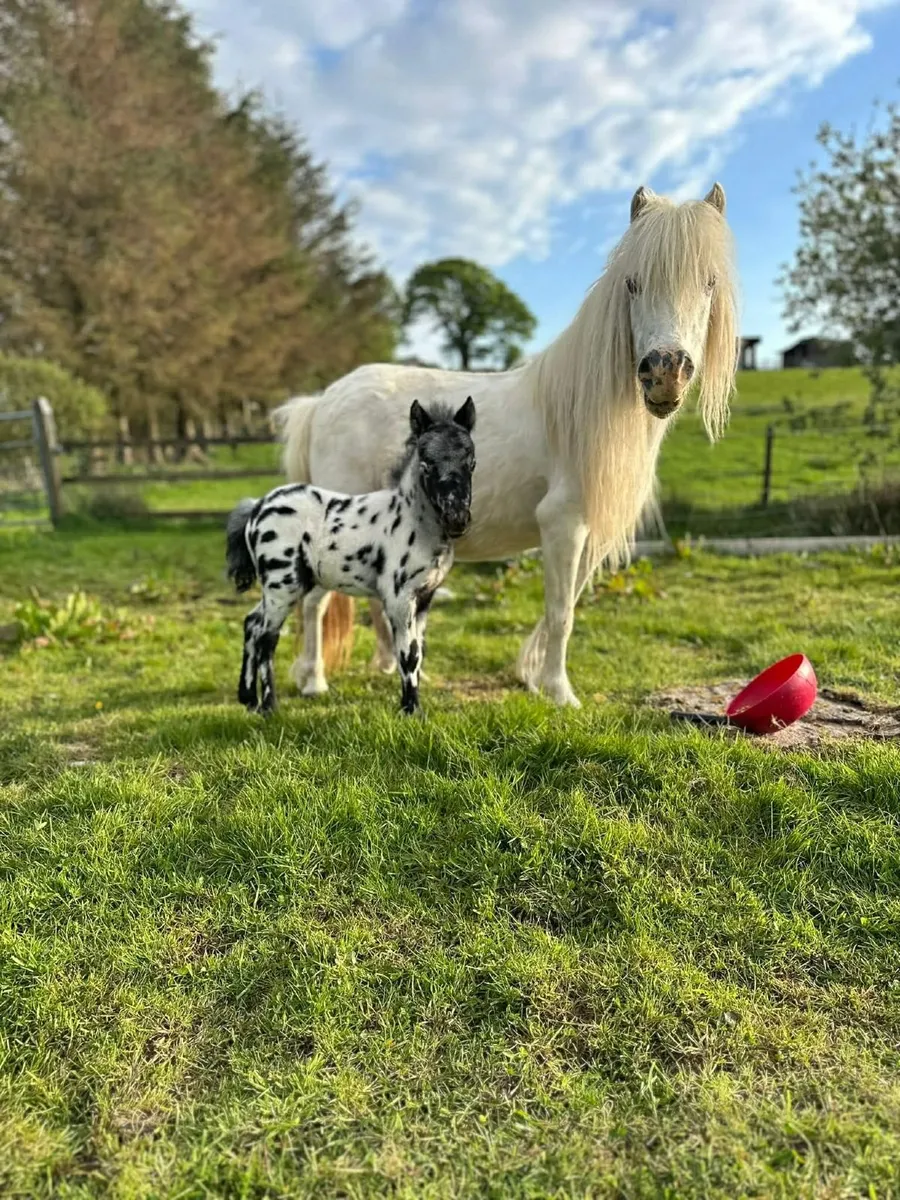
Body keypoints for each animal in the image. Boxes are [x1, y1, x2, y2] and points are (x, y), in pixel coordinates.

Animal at [226, 397, 477, 716]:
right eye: (425, 464)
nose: (457, 519)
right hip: (282, 586)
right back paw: (269, 706)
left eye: (471, 462)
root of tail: (257, 507)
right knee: (266, 637)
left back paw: (248, 699)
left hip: (282, 587)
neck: (413, 522)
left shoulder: (424, 597)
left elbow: (418, 652)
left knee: (251, 623)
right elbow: (407, 654)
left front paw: (413, 708)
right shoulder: (399, 597)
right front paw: (410, 711)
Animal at [274, 183, 739, 707]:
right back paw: (313, 680)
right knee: (315, 602)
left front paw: (532, 676)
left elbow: (566, 604)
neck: (575, 412)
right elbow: (561, 613)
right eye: (633, 283)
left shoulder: (586, 532)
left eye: (709, 283)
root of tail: (323, 401)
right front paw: (559, 692)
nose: (664, 372)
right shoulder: (563, 525)